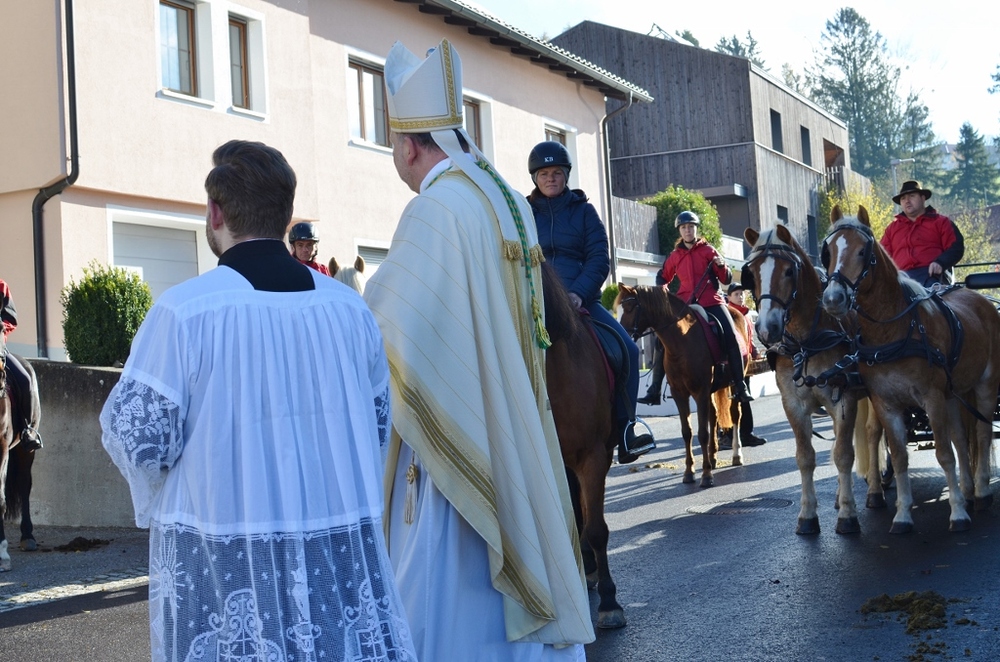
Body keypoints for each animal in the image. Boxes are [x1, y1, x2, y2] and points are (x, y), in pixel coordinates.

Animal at [615, 284, 746, 487]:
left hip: (733, 383)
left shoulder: (700, 392)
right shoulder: (680, 394)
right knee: (714, 415)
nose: (624, 336)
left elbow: (702, 433)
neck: (682, 341)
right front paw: (689, 472)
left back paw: (736, 454)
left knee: (735, 415)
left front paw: (706, 475)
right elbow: (687, 432)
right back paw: (713, 457)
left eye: (629, 308)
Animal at [743, 225, 883, 535]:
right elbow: (805, 457)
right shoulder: (793, 404)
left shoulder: (844, 399)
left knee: (874, 435)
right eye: (753, 273)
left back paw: (875, 490)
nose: (767, 329)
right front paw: (808, 515)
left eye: (788, 271)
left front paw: (848, 515)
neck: (808, 342)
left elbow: (843, 454)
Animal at [821, 205, 1000, 533]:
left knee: (981, 435)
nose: (833, 299)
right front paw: (903, 515)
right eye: (828, 252)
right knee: (961, 438)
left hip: (985, 384)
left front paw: (957, 513)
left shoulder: (932, 397)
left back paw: (980, 492)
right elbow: (901, 456)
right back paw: (968, 490)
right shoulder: (886, 404)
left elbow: (943, 454)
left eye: (863, 251)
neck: (894, 330)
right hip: (954, 394)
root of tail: (979, 299)